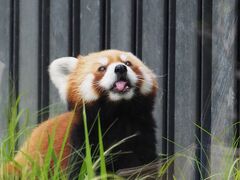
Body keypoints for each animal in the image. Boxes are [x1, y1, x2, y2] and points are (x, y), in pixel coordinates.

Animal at [3, 50, 159, 178]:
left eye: (128, 63)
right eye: (102, 68)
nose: (120, 68)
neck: (118, 115)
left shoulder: (142, 135)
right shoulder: (81, 139)